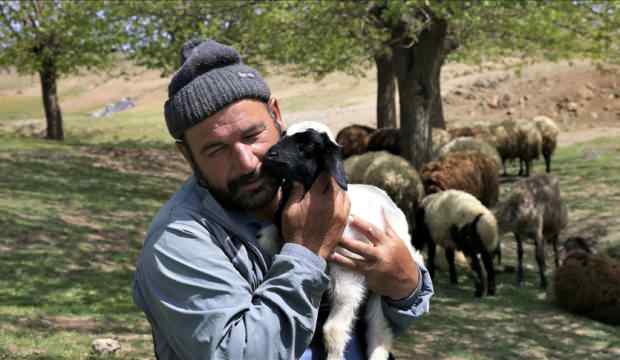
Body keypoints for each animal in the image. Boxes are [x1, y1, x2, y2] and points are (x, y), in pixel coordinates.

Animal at [256, 121, 426, 360]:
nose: (270, 155)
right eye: (283, 135)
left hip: (383, 279)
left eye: (308, 145)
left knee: (378, 330)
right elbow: (267, 239)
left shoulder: (349, 274)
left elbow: (333, 330)